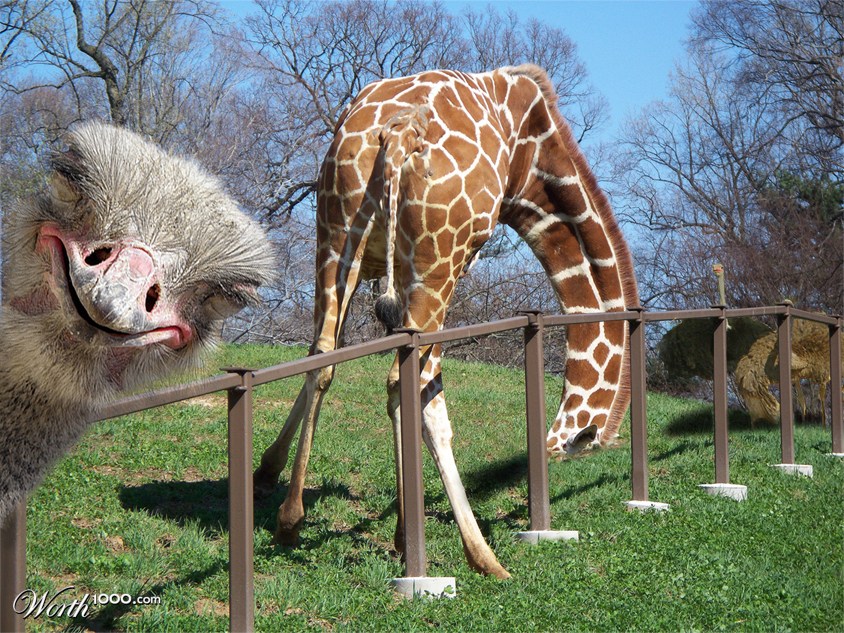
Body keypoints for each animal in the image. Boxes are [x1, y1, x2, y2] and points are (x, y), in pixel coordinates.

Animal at [254, 64, 639, 579]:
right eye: (582, 448)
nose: (546, 452)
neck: (531, 160)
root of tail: (397, 135)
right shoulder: (448, 261)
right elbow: (420, 392)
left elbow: (325, 359)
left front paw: (266, 470)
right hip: (439, 263)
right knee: (413, 385)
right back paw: (477, 554)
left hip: (335, 236)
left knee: (326, 357)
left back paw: (291, 519)